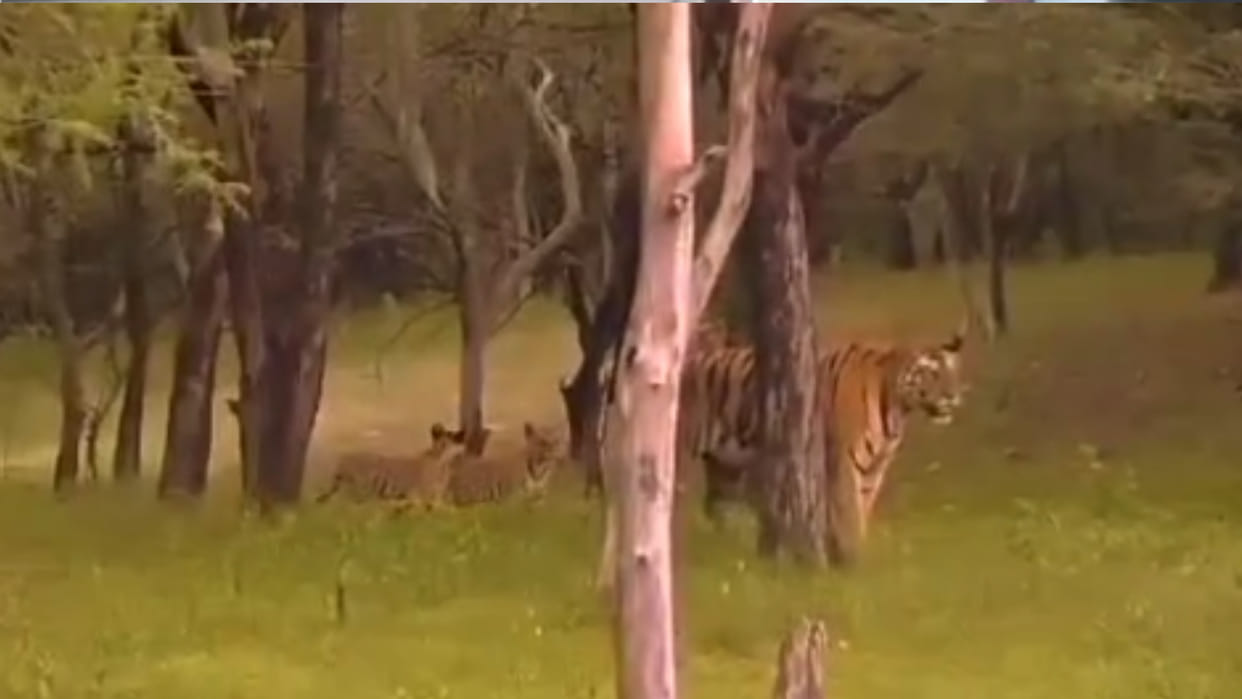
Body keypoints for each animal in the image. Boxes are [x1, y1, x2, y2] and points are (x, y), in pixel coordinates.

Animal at [315, 422, 466, 507]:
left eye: (455, 439)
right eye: (445, 441)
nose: (462, 443)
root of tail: (342, 459)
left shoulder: (434, 497)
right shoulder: (423, 496)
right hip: (359, 488)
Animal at [677, 326, 968, 562]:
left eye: (952, 373)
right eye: (932, 373)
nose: (952, 396)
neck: (897, 409)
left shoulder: (874, 469)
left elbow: (863, 510)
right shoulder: (845, 461)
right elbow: (850, 514)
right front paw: (851, 563)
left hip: (727, 467)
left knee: (717, 509)